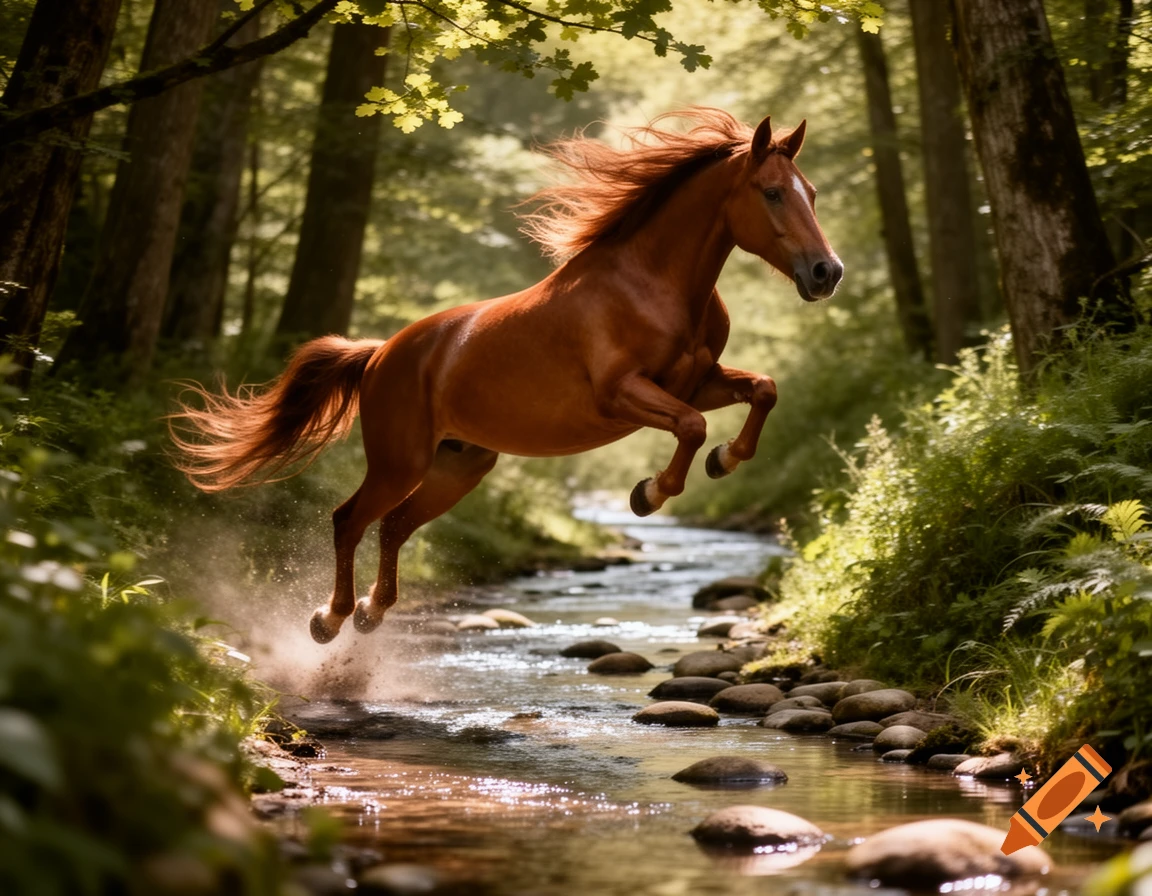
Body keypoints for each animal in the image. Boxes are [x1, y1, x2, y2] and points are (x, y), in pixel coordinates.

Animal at [171, 108, 843, 644]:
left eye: (812, 192)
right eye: (771, 192)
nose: (825, 273)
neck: (651, 284)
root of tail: (382, 353)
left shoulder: (696, 381)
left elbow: (761, 390)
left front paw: (724, 461)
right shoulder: (621, 394)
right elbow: (692, 426)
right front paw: (649, 493)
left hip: (458, 465)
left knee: (392, 526)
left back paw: (371, 612)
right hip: (400, 461)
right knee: (349, 519)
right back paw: (331, 618)